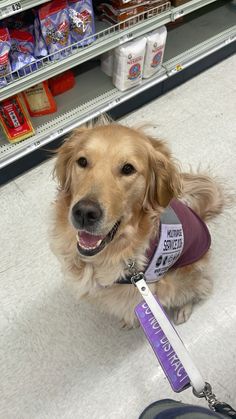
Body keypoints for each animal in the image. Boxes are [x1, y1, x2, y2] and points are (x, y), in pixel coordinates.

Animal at [51, 117, 225, 328]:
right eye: (82, 161)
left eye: (128, 169)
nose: (84, 212)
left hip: (180, 278)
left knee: (200, 286)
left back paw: (184, 308)